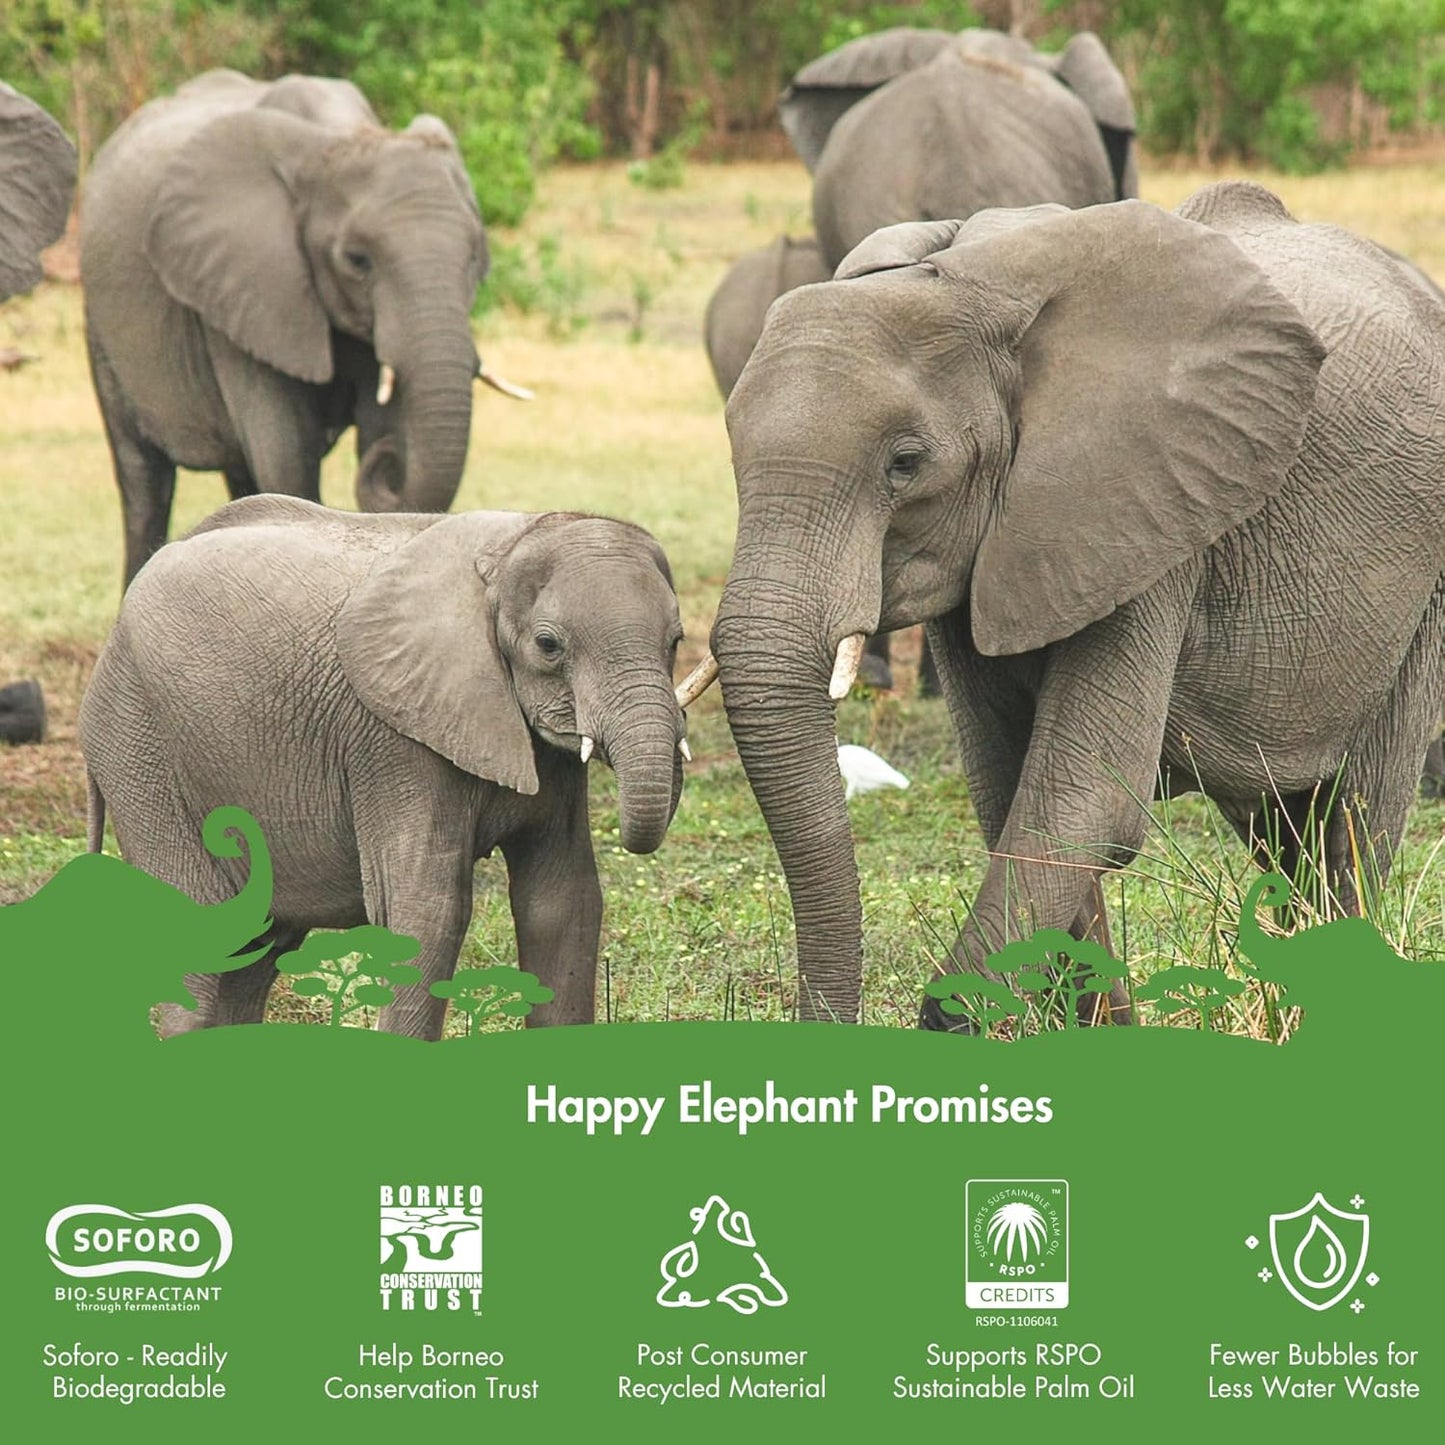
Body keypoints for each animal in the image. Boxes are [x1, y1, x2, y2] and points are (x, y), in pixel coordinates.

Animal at [80, 70, 521, 587]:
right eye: (357, 260)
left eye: (475, 256)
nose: (390, 462)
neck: (340, 136)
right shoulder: (246, 287)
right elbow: (285, 456)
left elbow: (376, 424)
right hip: (101, 325)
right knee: (144, 481)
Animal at [80, 495, 694, 1039]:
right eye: (548, 645)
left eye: (676, 640)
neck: (509, 545)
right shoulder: (394, 742)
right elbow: (427, 908)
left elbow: (562, 899)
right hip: (137, 745)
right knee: (208, 936)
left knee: (255, 952)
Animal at [683, 182, 1445, 1025]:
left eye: (904, 464)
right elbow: (1012, 789)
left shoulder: (1146, 513)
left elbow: (1081, 800)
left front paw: (954, 1017)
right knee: (1280, 829)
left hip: (1421, 591)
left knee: (1353, 819)